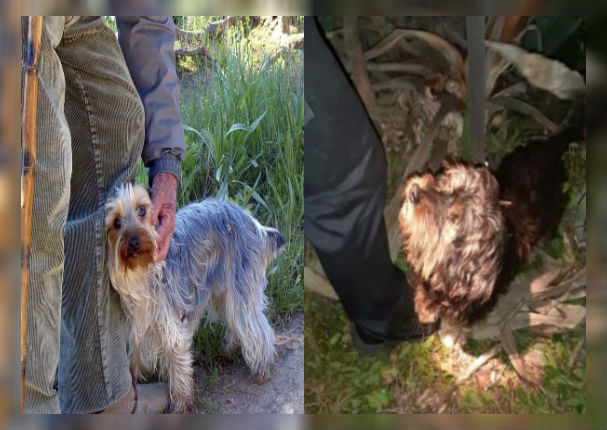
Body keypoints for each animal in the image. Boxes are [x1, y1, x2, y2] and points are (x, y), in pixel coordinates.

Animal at [105, 183, 286, 412]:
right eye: (116, 222)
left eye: (142, 210)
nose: (135, 242)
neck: (141, 272)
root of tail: (253, 223)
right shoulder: (140, 321)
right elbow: (136, 353)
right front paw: (133, 379)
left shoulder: (171, 321)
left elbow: (177, 361)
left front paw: (180, 403)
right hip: (221, 290)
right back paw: (230, 348)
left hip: (240, 283)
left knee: (254, 324)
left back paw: (262, 368)